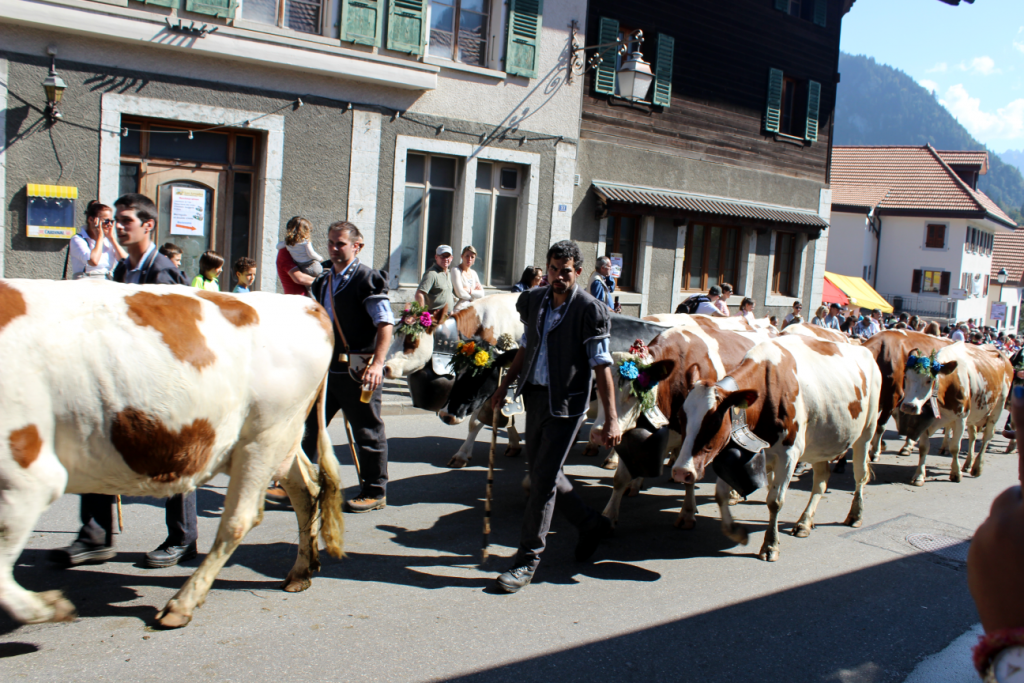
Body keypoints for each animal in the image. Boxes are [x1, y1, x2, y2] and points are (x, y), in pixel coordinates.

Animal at [0, 279, 344, 628]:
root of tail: (305, 304)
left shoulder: (28, 472)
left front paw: (47, 607)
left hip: (263, 437)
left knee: (240, 518)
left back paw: (182, 603)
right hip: (279, 438)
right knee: (306, 488)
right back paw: (300, 572)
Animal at [594, 320, 775, 528]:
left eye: (632, 393)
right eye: (598, 389)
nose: (598, 433)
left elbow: (690, 476)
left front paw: (687, 513)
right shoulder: (629, 429)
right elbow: (620, 478)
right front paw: (609, 515)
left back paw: (734, 494)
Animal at [670, 335, 881, 561]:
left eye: (713, 422)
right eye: (680, 417)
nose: (681, 471)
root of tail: (861, 347)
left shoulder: (789, 454)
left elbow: (775, 501)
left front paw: (770, 545)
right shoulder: (728, 453)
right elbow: (721, 495)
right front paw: (735, 531)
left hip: (866, 432)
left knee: (860, 475)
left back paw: (855, 514)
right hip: (821, 442)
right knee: (821, 480)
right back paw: (805, 522)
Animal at [897, 342, 1012, 486]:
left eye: (929, 380)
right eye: (906, 377)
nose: (908, 406)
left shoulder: (961, 418)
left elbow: (955, 447)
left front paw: (956, 473)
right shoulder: (925, 420)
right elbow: (923, 448)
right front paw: (919, 475)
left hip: (997, 408)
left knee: (986, 437)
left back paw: (977, 467)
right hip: (973, 415)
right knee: (973, 436)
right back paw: (968, 464)